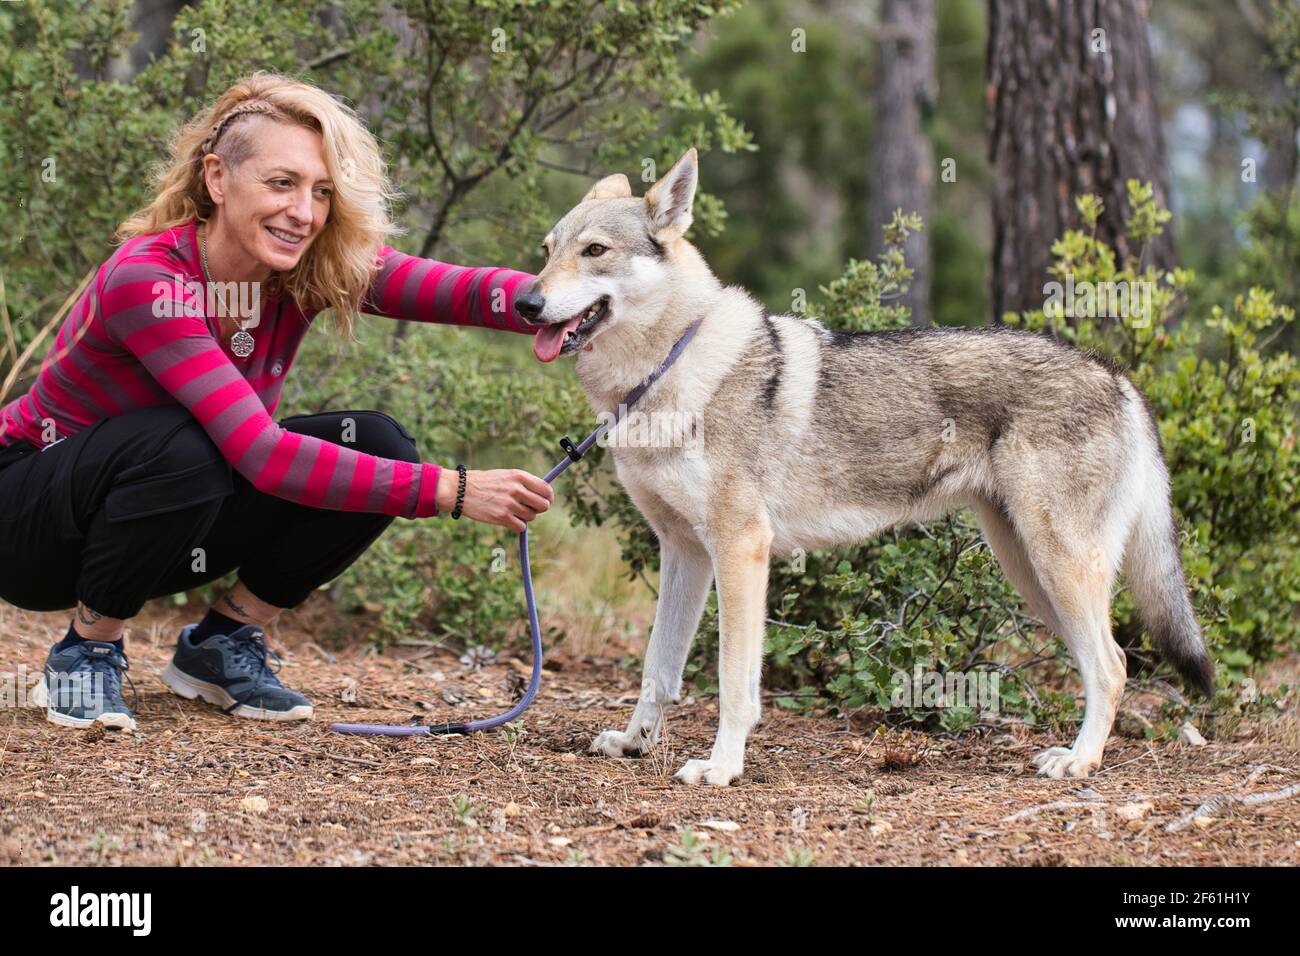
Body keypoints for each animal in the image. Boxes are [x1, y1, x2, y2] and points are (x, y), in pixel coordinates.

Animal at [512, 143, 1211, 785]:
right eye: (546, 250)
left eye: (594, 251)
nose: (525, 303)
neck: (664, 374)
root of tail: (1118, 376)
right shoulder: (683, 552)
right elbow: (659, 669)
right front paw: (636, 743)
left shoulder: (740, 549)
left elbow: (734, 684)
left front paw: (721, 768)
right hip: (1032, 573)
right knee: (1104, 664)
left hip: (1057, 564)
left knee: (1114, 666)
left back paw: (1079, 761)